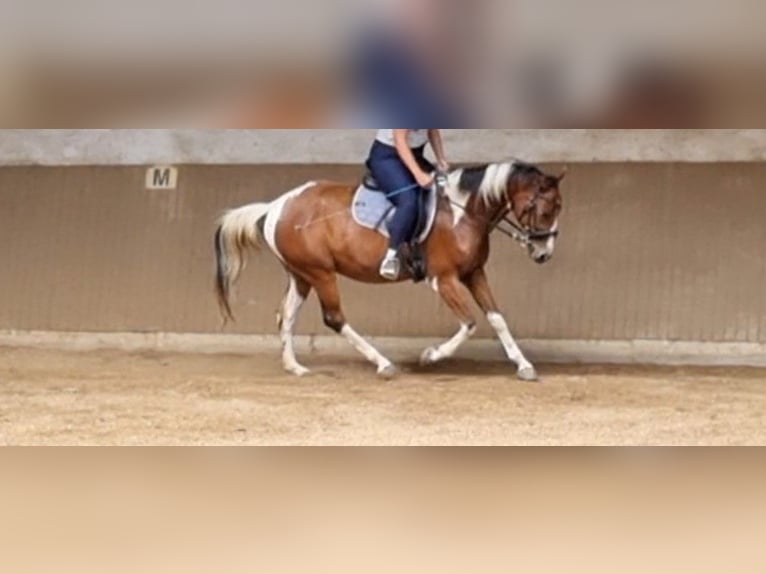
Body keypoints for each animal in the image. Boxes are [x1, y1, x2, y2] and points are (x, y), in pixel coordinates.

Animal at [214, 160, 564, 381]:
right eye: (547, 208)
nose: (544, 253)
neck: (463, 213)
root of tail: (276, 206)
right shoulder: (444, 279)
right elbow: (469, 323)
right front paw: (431, 355)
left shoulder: (474, 273)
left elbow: (496, 318)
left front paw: (523, 366)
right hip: (321, 273)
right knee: (334, 318)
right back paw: (383, 364)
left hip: (301, 275)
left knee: (286, 315)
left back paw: (294, 367)